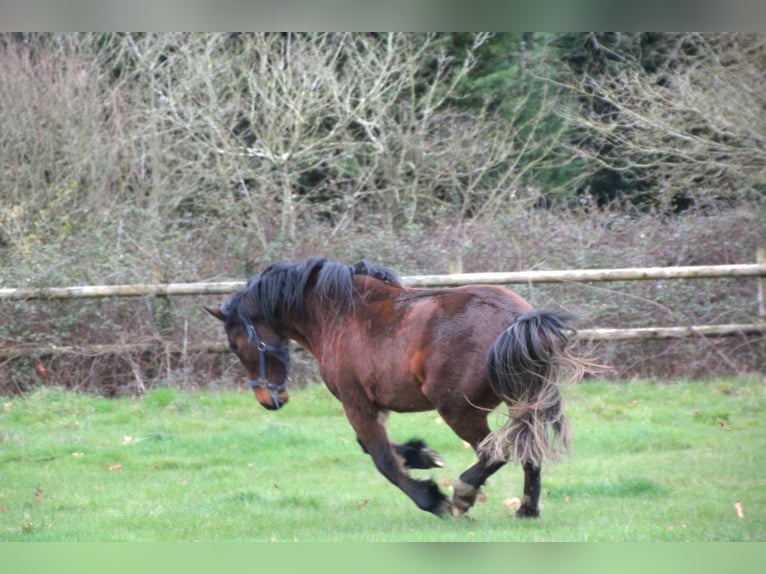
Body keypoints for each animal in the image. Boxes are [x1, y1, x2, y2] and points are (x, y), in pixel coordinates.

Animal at [205, 257, 586, 518]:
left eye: (235, 345)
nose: (270, 400)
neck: (337, 314)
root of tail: (518, 318)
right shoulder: (372, 406)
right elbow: (374, 447)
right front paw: (423, 455)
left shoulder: (356, 404)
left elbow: (382, 459)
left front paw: (433, 500)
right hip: (521, 403)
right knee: (528, 450)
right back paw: (526, 509)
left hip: (459, 410)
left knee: (497, 451)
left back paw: (463, 494)